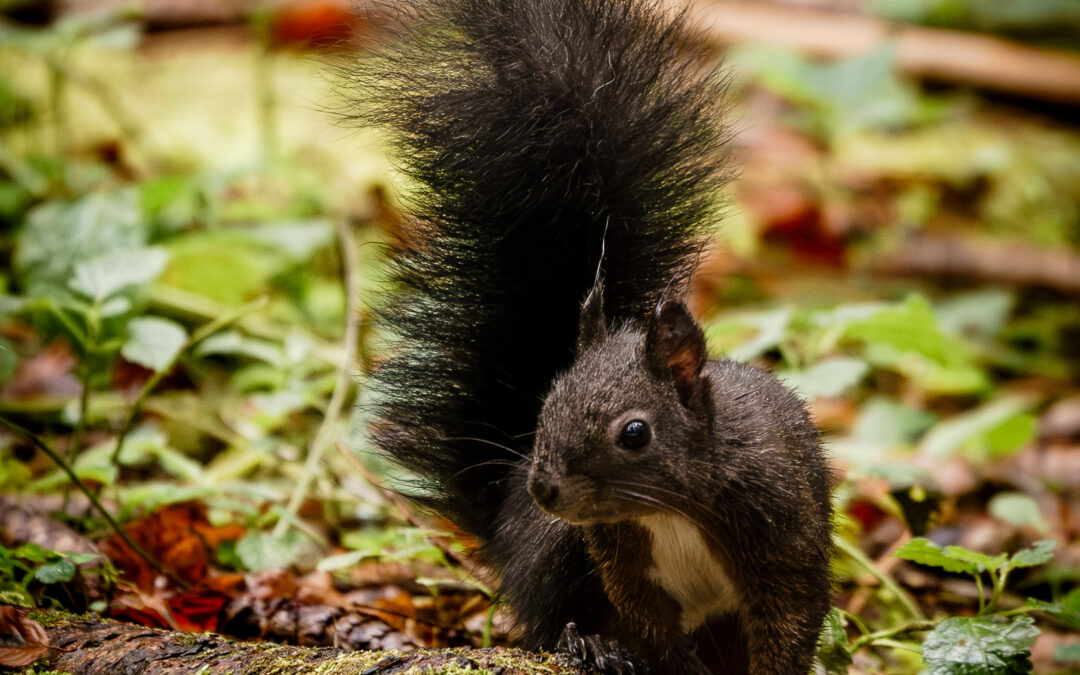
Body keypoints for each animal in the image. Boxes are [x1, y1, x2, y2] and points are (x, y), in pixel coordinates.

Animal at [350, 0, 834, 673]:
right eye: (544, 410)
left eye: (635, 433)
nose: (546, 488)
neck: (669, 506)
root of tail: (504, 521)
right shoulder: (620, 561)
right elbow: (649, 624)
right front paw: (642, 656)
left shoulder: (781, 534)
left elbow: (788, 623)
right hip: (556, 551)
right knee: (544, 620)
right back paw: (588, 644)